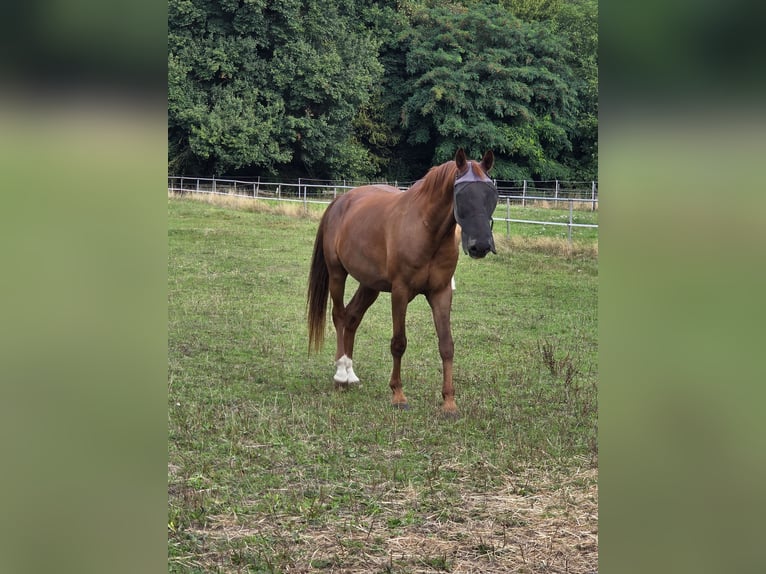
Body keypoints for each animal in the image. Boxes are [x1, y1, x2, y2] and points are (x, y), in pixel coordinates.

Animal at [307, 149, 498, 415]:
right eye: (461, 195)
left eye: (491, 194)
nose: (480, 245)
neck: (427, 229)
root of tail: (341, 201)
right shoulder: (400, 292)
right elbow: (399, 343)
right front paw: (398, 395)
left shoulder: (441, 293)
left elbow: (447, 345)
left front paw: (449, 402)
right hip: (337, 274)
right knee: (339, 316)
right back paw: (341, 374)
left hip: (370, 285)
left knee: (352, 318)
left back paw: (351, 375)